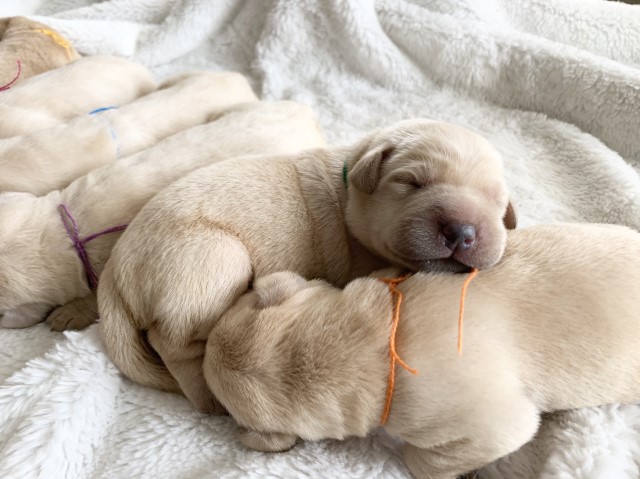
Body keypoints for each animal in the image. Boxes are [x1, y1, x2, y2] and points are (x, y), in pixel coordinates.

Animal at [97, 119, 516, 414]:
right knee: (170, 341)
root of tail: (113, 275)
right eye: (412, 182)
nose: (461, 231)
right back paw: (207, 395)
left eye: (497, 200)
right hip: (215, 258)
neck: (349, 191)